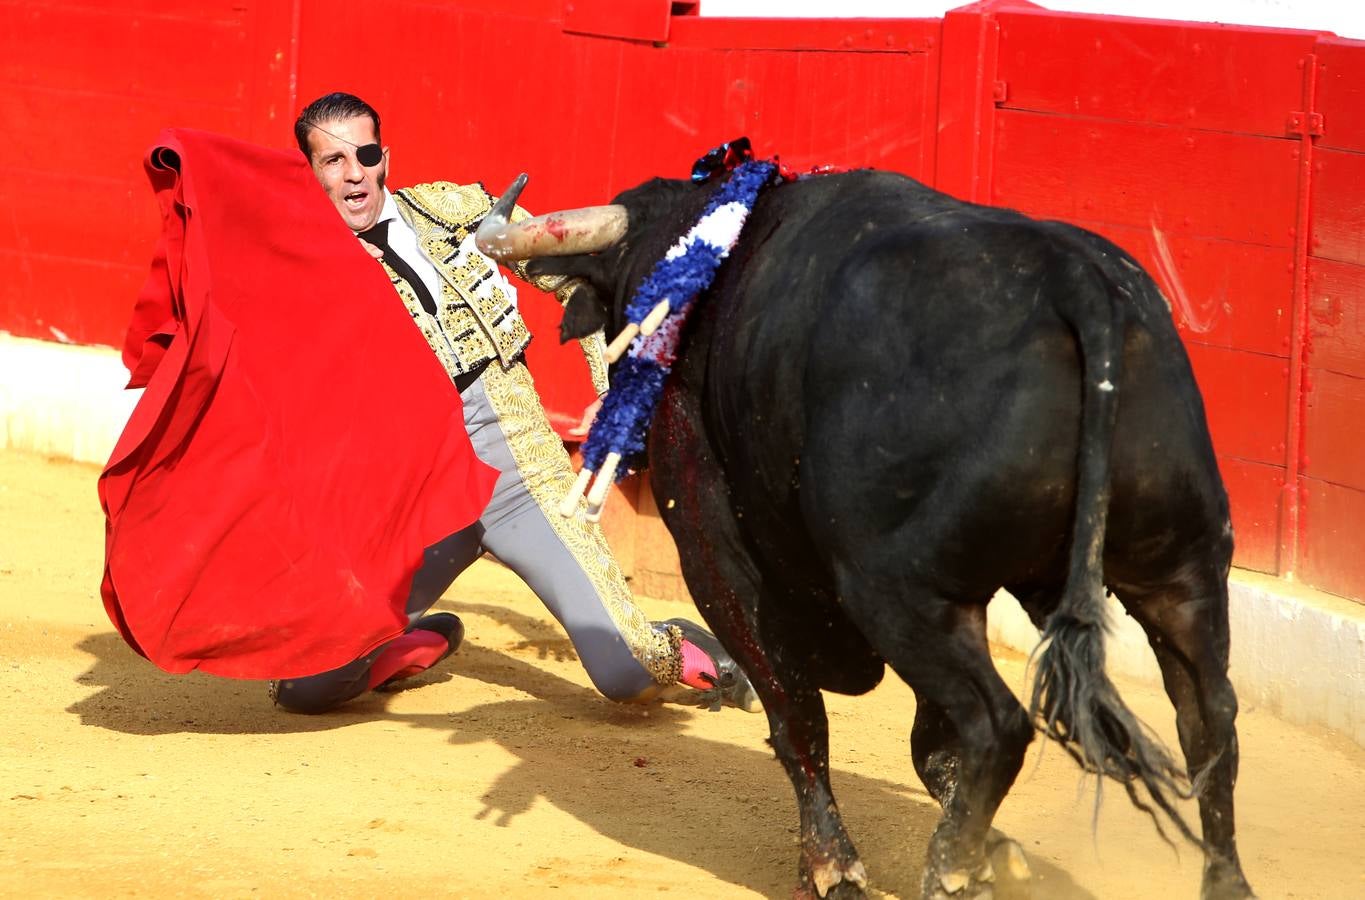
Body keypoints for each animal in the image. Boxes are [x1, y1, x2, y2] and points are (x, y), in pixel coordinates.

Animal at [480, 169, 1255, 900]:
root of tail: (1077, 282)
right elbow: (925, 745)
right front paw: (997, 855)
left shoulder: (716, 559)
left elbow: (796, 713)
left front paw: (834, 870)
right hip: (1181, 572)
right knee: (1208, 719)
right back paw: (1219, 881)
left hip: (898, 592)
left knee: (997, 723)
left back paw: (947, 873)